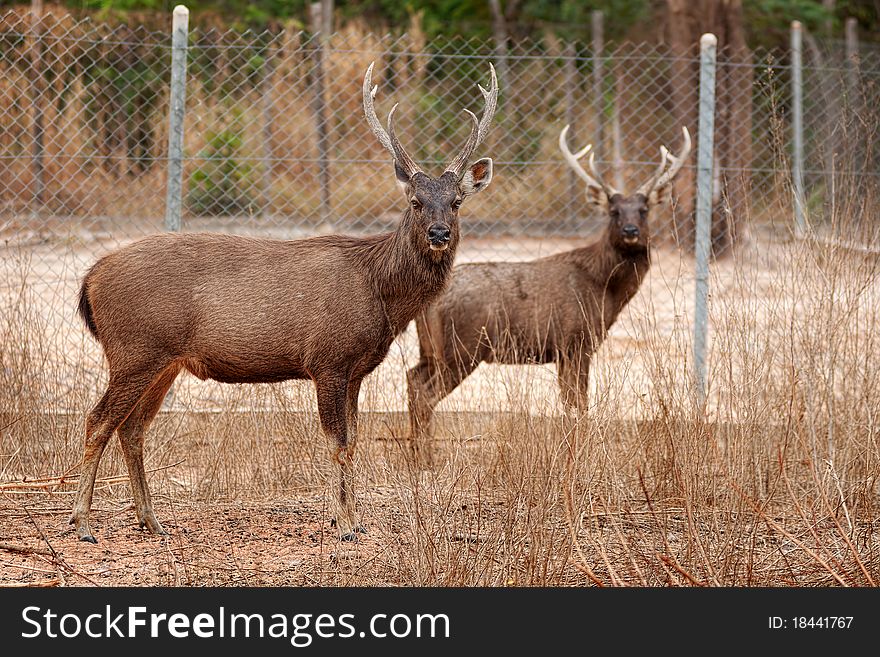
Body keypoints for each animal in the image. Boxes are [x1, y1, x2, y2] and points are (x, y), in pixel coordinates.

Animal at [72, 61, 498, 544]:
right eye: (415, 201)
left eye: (456, 201)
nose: (439, 234)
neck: (380, 292)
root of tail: (91, 279)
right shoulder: (327, 359)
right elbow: (337, 441)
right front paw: (343, 524)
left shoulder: (356, 369)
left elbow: (354, 439)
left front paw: (353, 519)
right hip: (135, 349)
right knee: (97, 421)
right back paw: (83, 523)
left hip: (164, 361)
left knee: (132, 428)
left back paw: (151, 519)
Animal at [404, 123, 688, 456]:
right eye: (614, 211)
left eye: (643, 209)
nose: (631, 231)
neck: (604, 290)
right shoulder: (577, 341)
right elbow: (579, 403)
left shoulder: (567, 349)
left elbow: (571, 403)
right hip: (462, 348)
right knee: (425, 394)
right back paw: (425, 455)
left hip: (431, 349)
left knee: (412, 379)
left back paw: (417, 454)